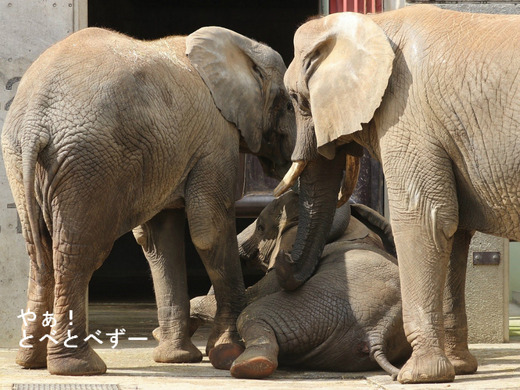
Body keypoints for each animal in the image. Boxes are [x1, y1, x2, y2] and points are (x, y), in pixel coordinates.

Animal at [1, 25, 296, 376]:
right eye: (290, 104)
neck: (241, 48)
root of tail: (35, 121)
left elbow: (159, 241)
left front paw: (179, 359)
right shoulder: (215, 140)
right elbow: (209, 230)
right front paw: (226, 353)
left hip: (21, 159)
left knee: (39, 252)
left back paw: (30, 362)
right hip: (87, 163)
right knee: (78, 254)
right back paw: (80, 367)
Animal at [187, 190, 410, 380]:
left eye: (260, 228)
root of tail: (377, 335)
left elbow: (251, 297)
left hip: (316, 307)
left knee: (252, 314)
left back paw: (242, 364)